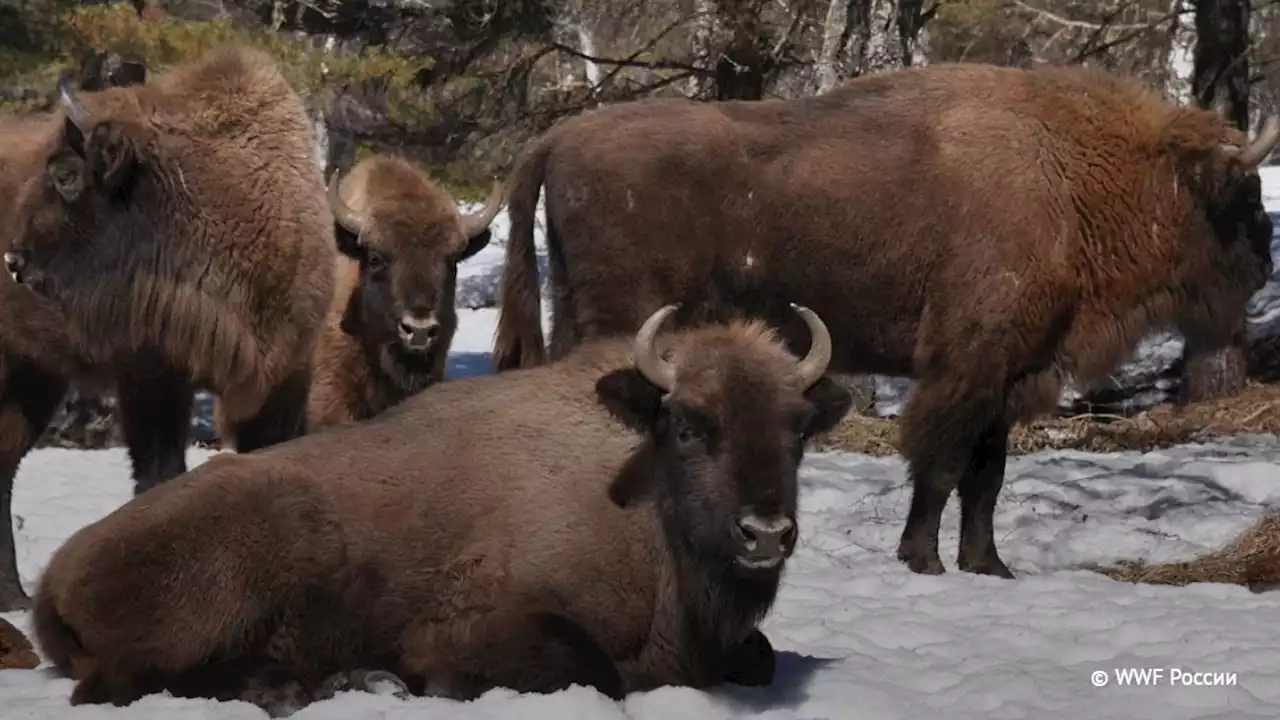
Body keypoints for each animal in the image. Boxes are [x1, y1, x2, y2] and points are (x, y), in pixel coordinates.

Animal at [30, 303, 849, 712]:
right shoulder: (479, 624)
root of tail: (54, 580)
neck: (640, 494)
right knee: (119, 687)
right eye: (686, 424)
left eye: (799, 429)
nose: (765, 533)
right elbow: (600, 674)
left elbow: (759, 657)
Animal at [491, 60, 1280, 576]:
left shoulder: (1009, 374)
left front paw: (989, 567)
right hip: (623, 320)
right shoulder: (965, 369)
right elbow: (941, 467)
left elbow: (986, 478)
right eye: (1243, 194)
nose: (1263, 262)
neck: (1069, 173)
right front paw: (923, 560)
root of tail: (557, 140)